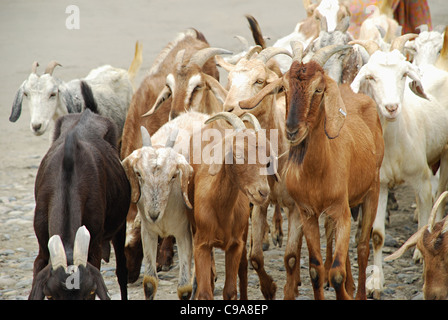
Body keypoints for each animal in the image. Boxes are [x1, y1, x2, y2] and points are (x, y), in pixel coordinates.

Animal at [28, 81, 131, 298]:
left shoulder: (95, 247)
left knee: (122, 271)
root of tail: (88, 111)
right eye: (50, 295)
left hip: (119, 226)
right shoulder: (42, 247)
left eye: (91, 292)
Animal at [121, 125, 193, 300]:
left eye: (174, 176)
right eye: (138, 174)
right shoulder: (148, 232)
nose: (153, 214)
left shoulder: (184, 233)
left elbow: (184, 288)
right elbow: (149, 282)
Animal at [240, 43, 384, 298]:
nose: (292, 130)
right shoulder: (307, 213)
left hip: (372, 190)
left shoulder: (340, 211)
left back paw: (358, 292)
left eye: (318, 89)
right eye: (284, 88)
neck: (318, 172)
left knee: (362, 247)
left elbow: (336, 272)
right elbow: (316, 269)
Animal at [352, 35, 448, 300]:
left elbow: (426, 220)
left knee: (439, 196)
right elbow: (377, 235)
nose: (392, 107)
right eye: (370, 77)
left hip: (445, 152)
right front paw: (375, 283)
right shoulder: (380, 184)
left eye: (404, 74)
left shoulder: (422, 179)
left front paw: (423, 258)